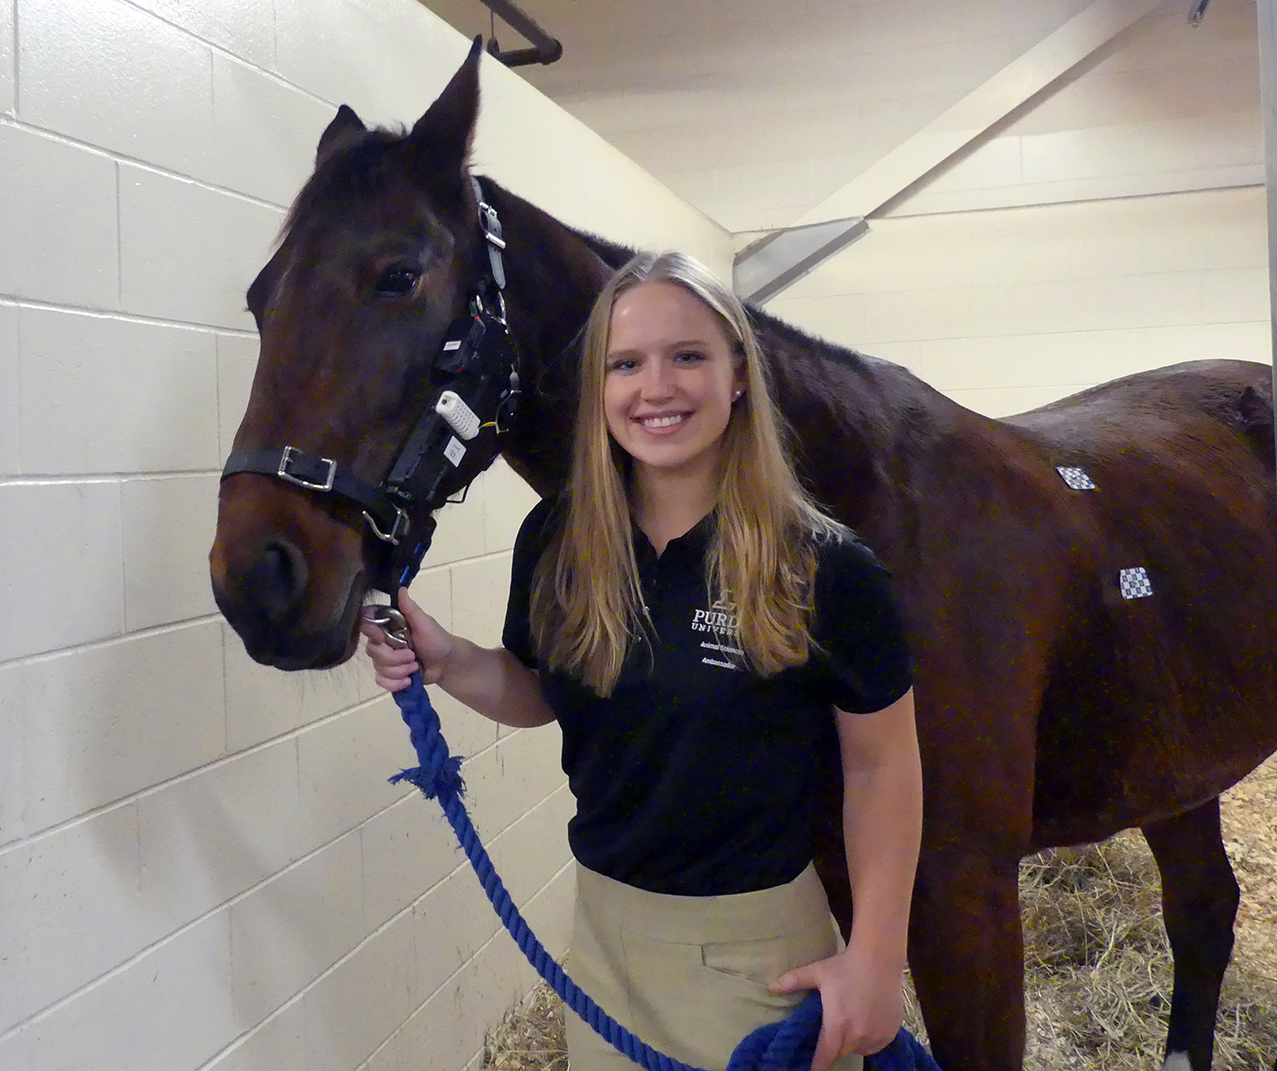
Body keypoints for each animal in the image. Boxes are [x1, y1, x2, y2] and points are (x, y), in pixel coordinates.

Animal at [209, 44, 1277, 1071]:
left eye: (398, 274)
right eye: (259, 298)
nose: (256, 578)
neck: (870, 508)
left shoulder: (962, 889)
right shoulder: (841, 880)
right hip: (1173, 762)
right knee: (1202, 909)